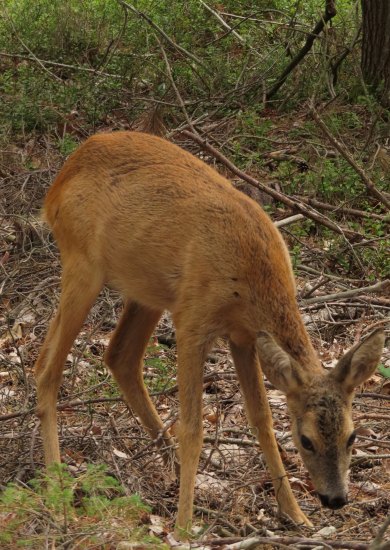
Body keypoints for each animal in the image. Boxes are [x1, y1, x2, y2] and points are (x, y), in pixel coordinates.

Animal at [35, 133, 386, 540]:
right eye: (306, 440)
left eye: (352, 436)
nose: (335, 499)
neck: (251, 278)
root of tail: (60, 180)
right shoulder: (193, 322)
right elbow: (193, 427)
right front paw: (185, 527)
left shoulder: (243, 336)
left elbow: (262, 419)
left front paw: (297, 515)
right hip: (83, 265)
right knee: (48, 368)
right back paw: (57, 496)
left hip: (147, 291)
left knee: (118, 357)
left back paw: (171, 468)